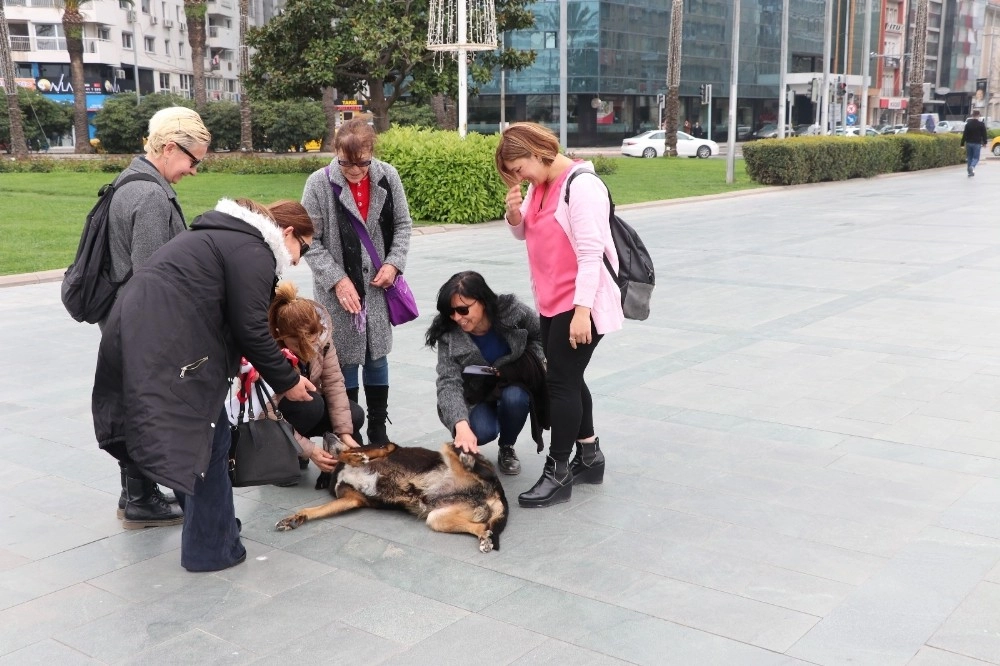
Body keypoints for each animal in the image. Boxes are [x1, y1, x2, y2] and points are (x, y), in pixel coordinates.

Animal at [274, 440, 508, 548]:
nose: (326, 434)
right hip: (437, 518)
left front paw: (354, 456)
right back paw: (484, 538)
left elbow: (349, 451)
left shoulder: (387, 446)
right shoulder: (350, 500)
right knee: (482, 526)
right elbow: (313, 509)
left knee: (469, 460)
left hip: (455, 452)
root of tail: (495, 492)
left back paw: (467, 459)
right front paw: (294, 518)